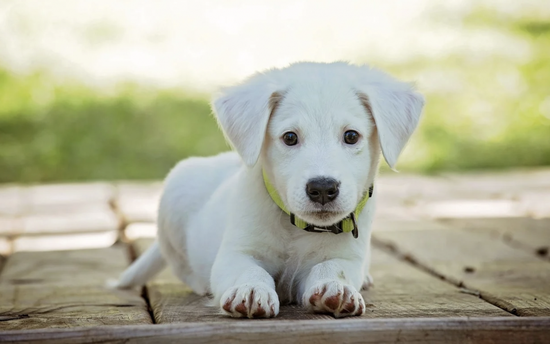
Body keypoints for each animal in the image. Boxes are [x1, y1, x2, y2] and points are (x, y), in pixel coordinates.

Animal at [117, 61, 426, 318]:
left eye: (351, 136)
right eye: (289, 137)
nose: (322, 188)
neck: (296, 228)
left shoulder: (347, 257)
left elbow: (332, 267)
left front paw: (335, 288)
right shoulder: (236, 253)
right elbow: (249, 270)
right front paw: (251, 290)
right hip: (175, 196)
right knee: (183, 268)